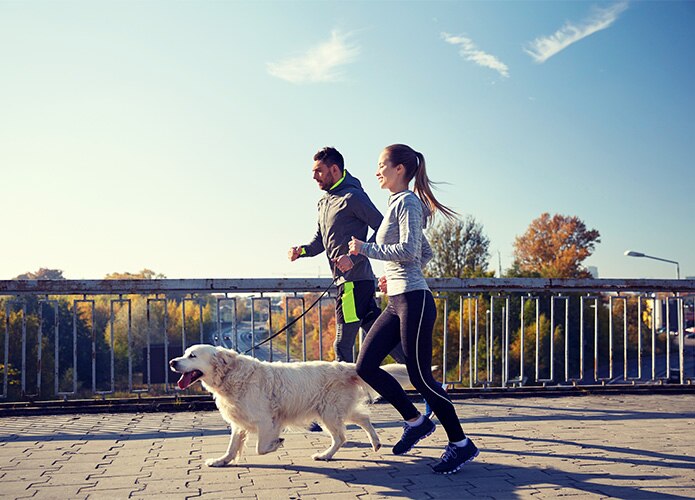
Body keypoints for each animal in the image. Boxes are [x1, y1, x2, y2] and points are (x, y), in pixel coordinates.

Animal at [169, 344, 410, 464]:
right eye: (183, 353)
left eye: (192, 356)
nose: (172, 362)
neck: (231, 375)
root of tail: (345, 366)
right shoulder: (239, 422)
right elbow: (232, 447)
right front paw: (221, 461)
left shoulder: (266, 420)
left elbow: (260, 448)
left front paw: (277, 443)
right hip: (336, 410)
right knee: (363, 418)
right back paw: (375, 443)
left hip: (328, 413)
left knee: (341, 437)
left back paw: (325, 455)